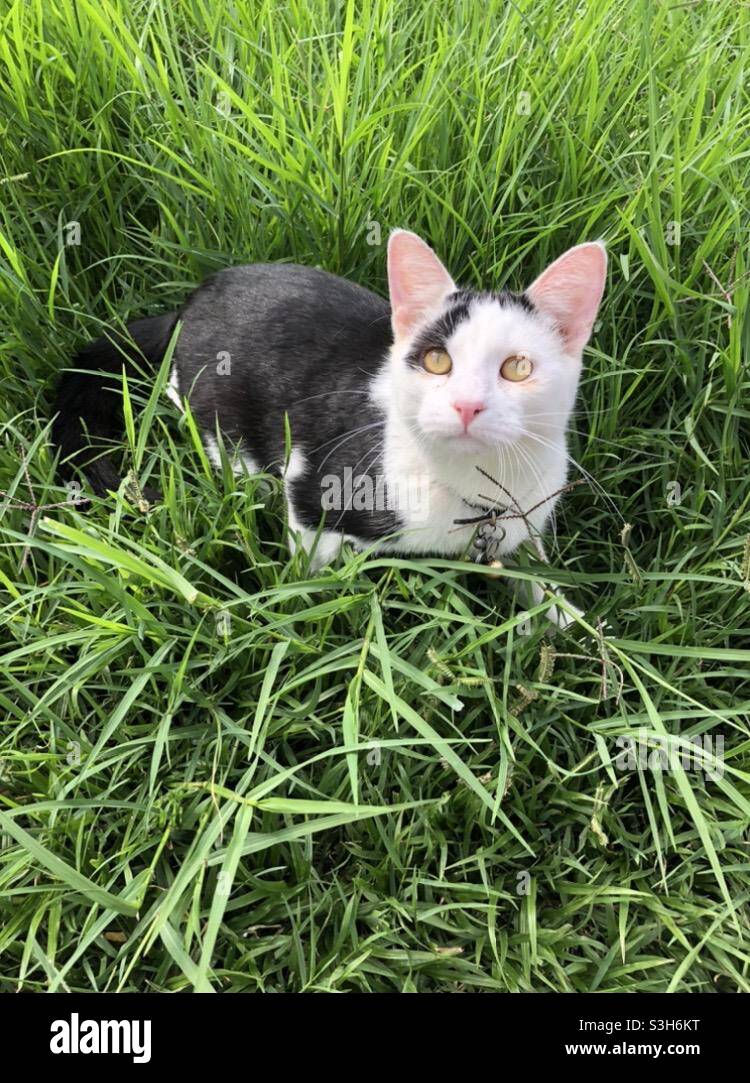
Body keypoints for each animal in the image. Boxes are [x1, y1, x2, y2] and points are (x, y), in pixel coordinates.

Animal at [51, 228, 601, 619]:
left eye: (518, 368)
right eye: (437, 361)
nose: (467, 405)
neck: (475, 492)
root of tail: (190, 301)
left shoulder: (526, 517)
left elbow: (539, 575)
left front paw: (572, 626)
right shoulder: (316, 484)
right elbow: (309, 565)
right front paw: (304, 607)